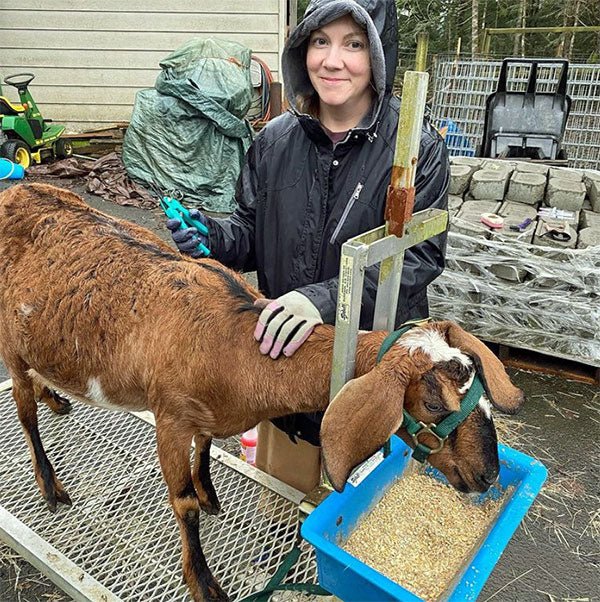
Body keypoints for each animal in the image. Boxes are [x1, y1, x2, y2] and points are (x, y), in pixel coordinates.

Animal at [0, 184, 524, 600]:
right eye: (433, 403)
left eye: (480, 391)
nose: (488, 475)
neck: (234, 344)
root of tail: (17, 189)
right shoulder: (170, 417)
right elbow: (183, 503)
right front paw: (204, 583)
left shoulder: (206, 416)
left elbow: (206, 447)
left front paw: (211, 493)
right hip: (10, 340)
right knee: (23, 409)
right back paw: (50, 483)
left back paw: (55, 397)